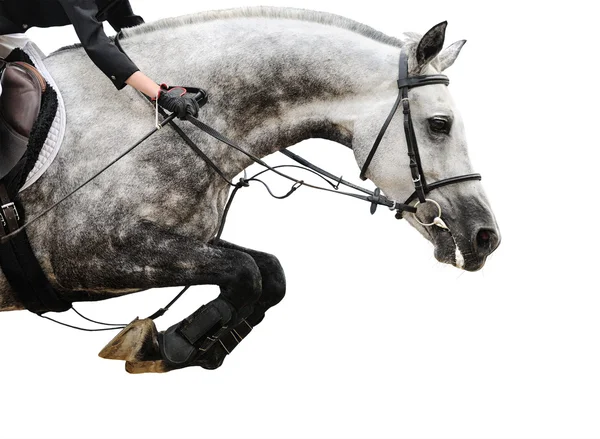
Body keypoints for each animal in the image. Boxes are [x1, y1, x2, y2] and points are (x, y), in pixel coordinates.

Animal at [0, 6, 500, 372]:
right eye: (440, 125)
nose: (485, 237)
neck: (162, 121)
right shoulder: (90, 257)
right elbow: (245, 271)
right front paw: (168, 345)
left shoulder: (185, 241)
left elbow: (268, 271)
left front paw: (189, 345)